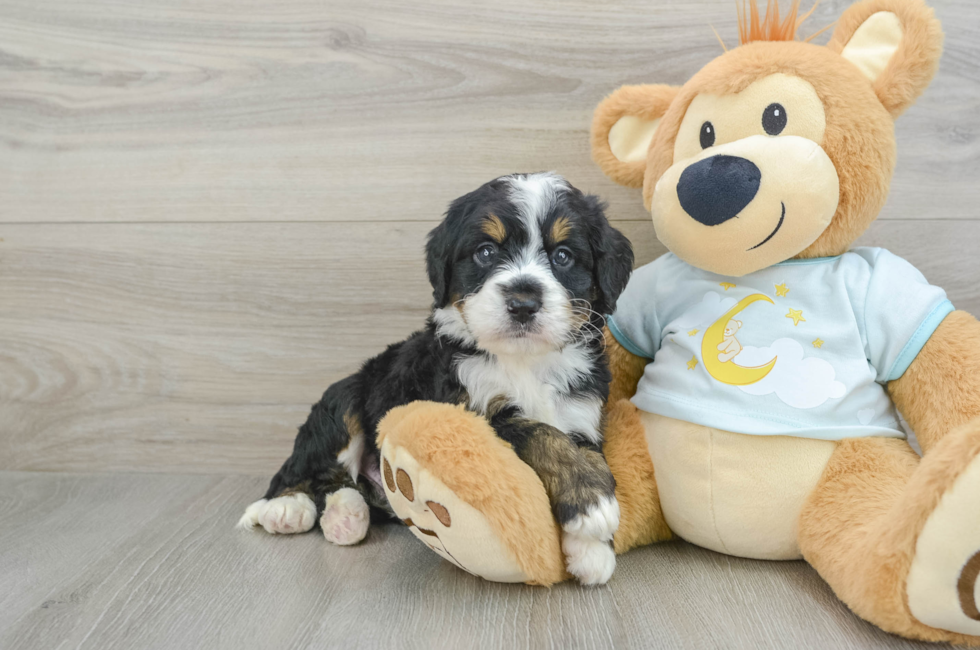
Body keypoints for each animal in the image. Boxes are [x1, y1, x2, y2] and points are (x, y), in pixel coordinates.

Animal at [241, 171, 632, 584]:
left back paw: (345, 517)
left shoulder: (580, 413)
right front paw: (594, 508)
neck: (523, 360)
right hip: (344, 398)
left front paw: (592, 548)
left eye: (563, 256)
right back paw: (286, 509)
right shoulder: (473, 411)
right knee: (303, 469)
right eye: (486, 252)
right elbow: (542, 434)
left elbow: (587, 454)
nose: (523, 303)